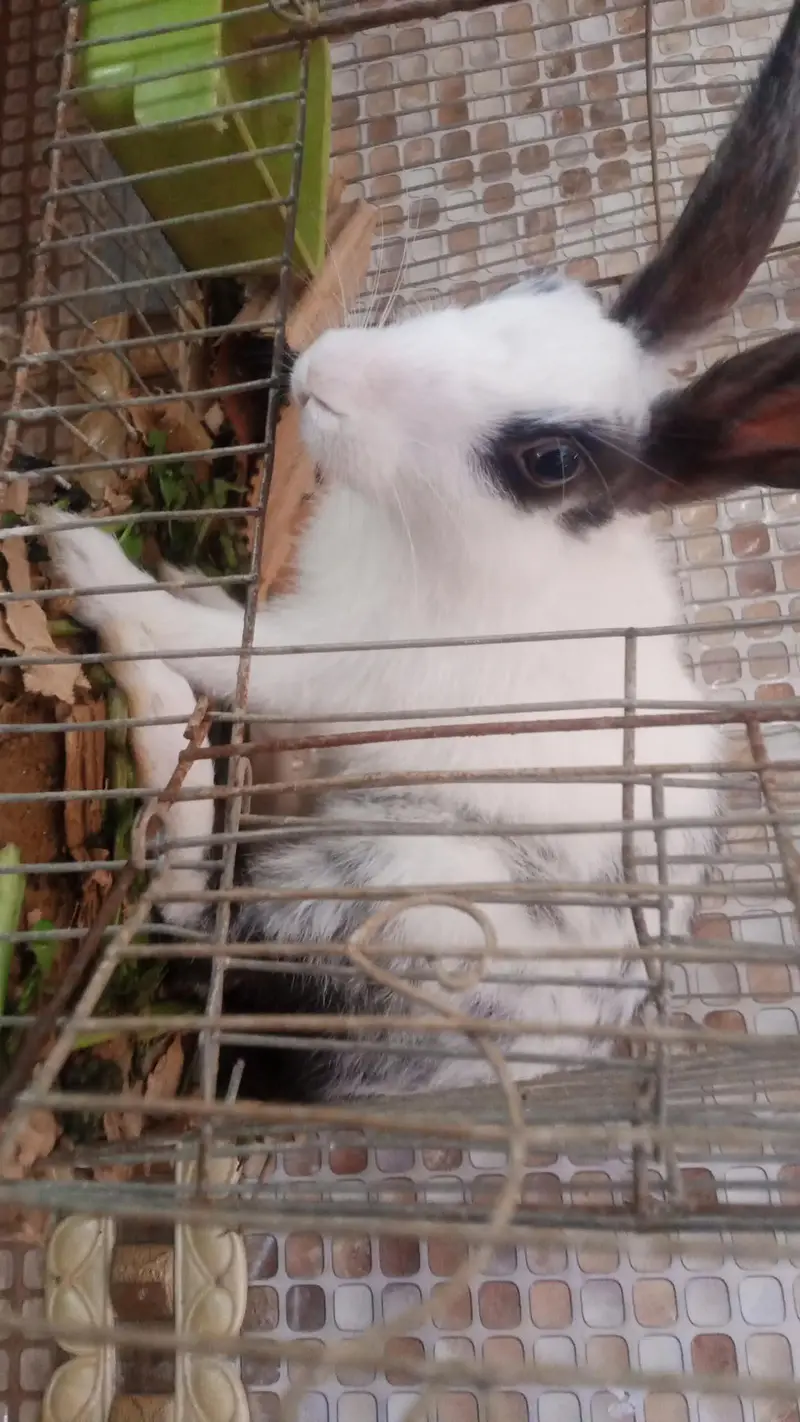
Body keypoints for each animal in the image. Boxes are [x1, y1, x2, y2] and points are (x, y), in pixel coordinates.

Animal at [37, 0, 800, 1103]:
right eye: (540, 284)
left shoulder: (325, 665)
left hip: (379, 890)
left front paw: (83, 556)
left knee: (190, 902)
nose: (319, 373)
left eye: (549, 461)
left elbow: (207, 639)